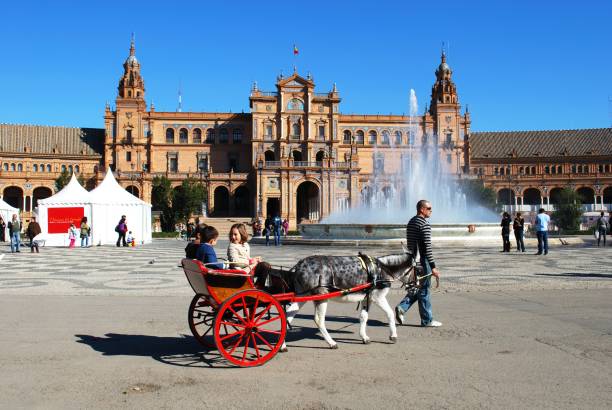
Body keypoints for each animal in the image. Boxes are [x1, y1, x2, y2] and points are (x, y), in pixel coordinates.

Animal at [280, 251, 414, 350]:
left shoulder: (367, 298)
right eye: (416, 268)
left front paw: (364, 337)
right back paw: (331, 343)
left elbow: (363, 317)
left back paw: (282, 346)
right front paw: (393, 335)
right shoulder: (378, 297)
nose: (416, 285)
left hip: (302, 296)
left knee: (287, 316)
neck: (382, 269)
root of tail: (300, 264)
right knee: (318, 320)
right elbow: (390, 313)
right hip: (321, 297)